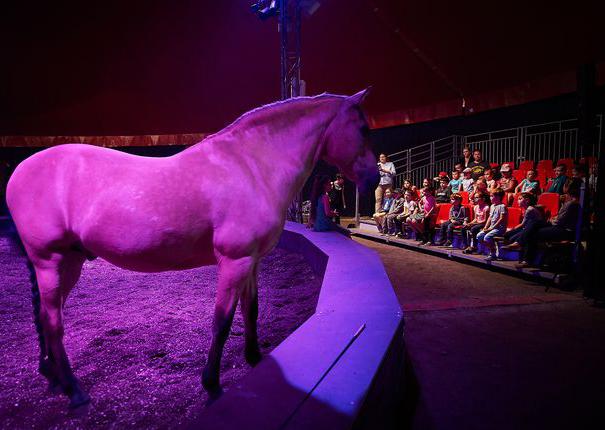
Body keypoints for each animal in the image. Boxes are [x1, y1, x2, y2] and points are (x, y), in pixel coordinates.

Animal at [5, 90, 378, 406]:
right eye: (362, 128)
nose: (373, 180)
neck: (251, 166)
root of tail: (19, 172)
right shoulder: (234, 261)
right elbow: (222, 321)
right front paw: (212, 384)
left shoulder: (252, 261)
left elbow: (251, 310)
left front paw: (255, 358)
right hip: (49, 261)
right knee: (54, 321)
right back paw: (74, 390)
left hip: (69, 262)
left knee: (46, 315)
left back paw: (53, 377)